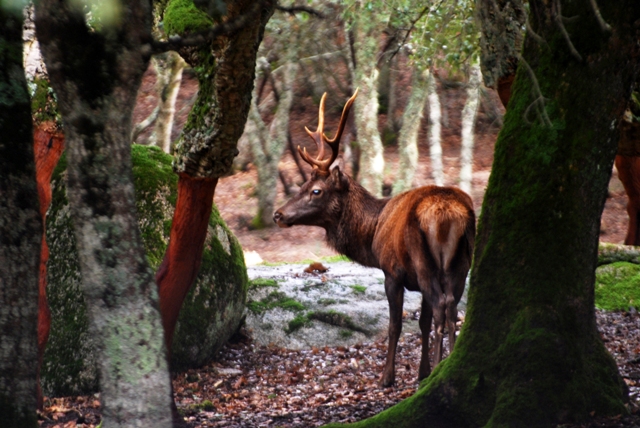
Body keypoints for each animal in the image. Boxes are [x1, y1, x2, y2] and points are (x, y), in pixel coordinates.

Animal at [272, 89, 478, 384]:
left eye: (316, 191)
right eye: (302, 185)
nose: (278, 214)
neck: (372, 233)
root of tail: (448, 214)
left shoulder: (392, 271)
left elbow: (396, 325)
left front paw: (388, 377)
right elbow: (423, 323)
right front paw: (423, 372)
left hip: (424, 261)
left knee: (442, 305)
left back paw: (438, 368)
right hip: (461, 261)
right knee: (451, 307)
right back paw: (445, 365)